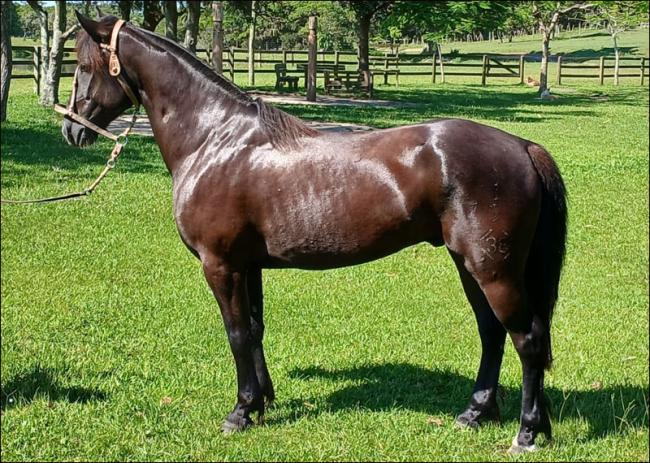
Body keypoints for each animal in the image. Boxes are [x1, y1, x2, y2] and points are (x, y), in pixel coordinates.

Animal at [63, 13, 567, 453]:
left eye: (84, 67)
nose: (71, 130)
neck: (214, 140)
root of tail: (523, 146)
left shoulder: (221, 265)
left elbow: (236, 334)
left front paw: (240, 412)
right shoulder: (248, 266)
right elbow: (255, 328)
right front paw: (262, 403)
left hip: (492, 269)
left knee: (527, 340)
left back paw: (526, 433)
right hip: (470, 265)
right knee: (492, 332)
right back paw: (477, 413)